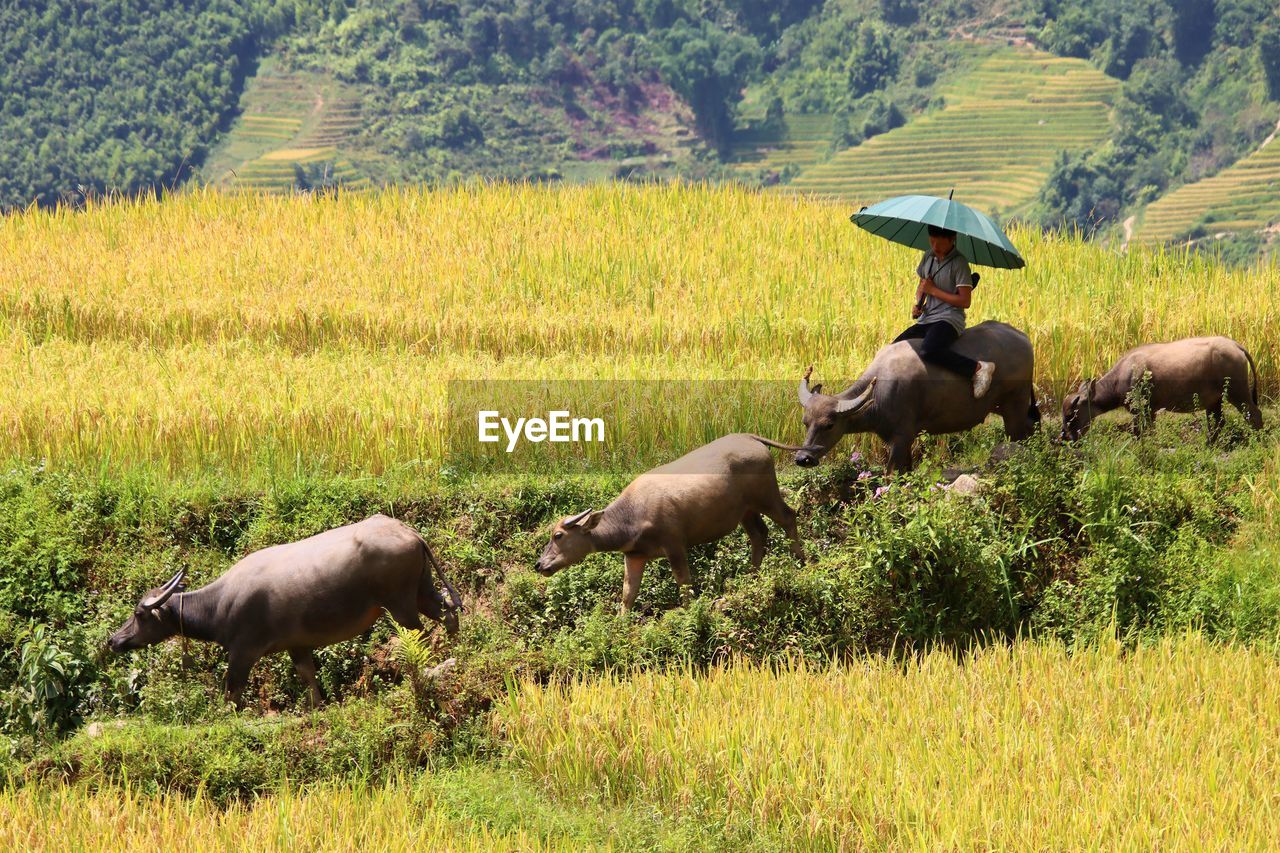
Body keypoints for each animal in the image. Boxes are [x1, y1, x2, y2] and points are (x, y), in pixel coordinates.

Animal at [107, 514, 463, 706]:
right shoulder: (297, 644)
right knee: (448, 613)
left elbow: (232, 692)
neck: (221, 604)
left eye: (139, 614)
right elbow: (308, 674)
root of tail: (408, 532)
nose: (113, 640)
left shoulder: (242, 651)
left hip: (399, 603)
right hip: (422, 590)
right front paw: (318, 705)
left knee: (418, 634)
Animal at [529, 432, 808, 612]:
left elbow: (683, 582)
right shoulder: (634, 555)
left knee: (789, 517)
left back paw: (800, 561)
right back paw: (751, 575)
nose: (540, 565)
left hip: (766, 496)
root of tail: (752, 439)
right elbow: (628, 593)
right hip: (746, 511)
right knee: (758, 534)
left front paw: (687, 612)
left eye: (558, 535)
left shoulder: (675, 546)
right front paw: (621, 623)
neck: (632, 516)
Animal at [793, 317, 1044, 468]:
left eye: (829, 425)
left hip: (1015, 405)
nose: (803, 458)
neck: (877, 394)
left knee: (1019, 438)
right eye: (805, 423)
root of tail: (1022, 337)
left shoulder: (902, 436)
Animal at [1059, 333, 1259, 440]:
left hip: (1237, 392)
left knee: (1254, 415)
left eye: (1071, 414)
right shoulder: (1151, 411)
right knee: (1218, 422)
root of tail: (1236, 345)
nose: (1065, 437)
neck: (1122, 376)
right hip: (1215, 400)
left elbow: (1138, 433)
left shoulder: (1141, 410)